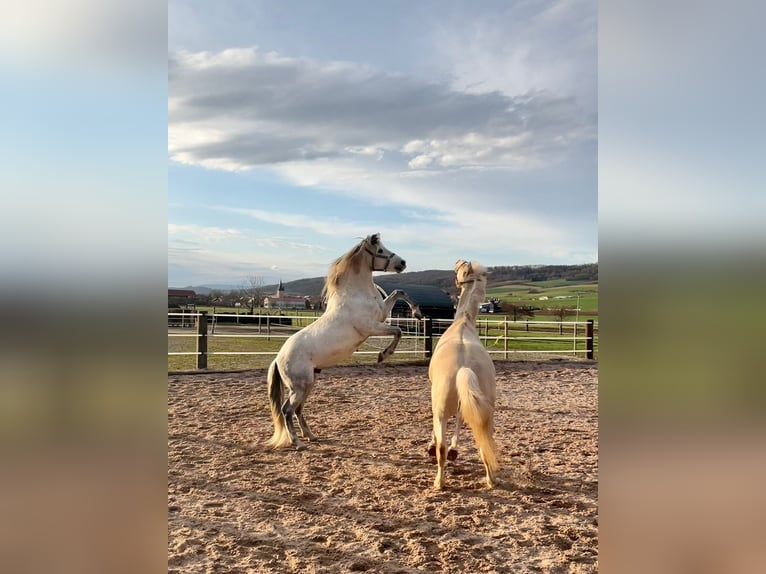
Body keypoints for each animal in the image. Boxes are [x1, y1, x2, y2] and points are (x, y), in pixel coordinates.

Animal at [268, 233, 424, 450]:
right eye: (380, 250)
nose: (402, 263)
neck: (356, 295)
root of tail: (278, 358)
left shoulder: (382, 313)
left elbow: (399, 292)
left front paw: (417, 313)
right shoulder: (371, 327)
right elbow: (398, 330)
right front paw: (383, 355)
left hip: (308, 384)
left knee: (298, 410)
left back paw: (311, 435)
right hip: (299, 386)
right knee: (287, 410)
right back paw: (298, 443)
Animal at [428, 260, 500, 490]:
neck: (463, 322)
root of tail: (464, 367)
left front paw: (439, 447)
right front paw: (455, 450)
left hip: (441, 411)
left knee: (441, 449)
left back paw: (439, 482)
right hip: (486, 415)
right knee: (485, 445)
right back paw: (490, 479)